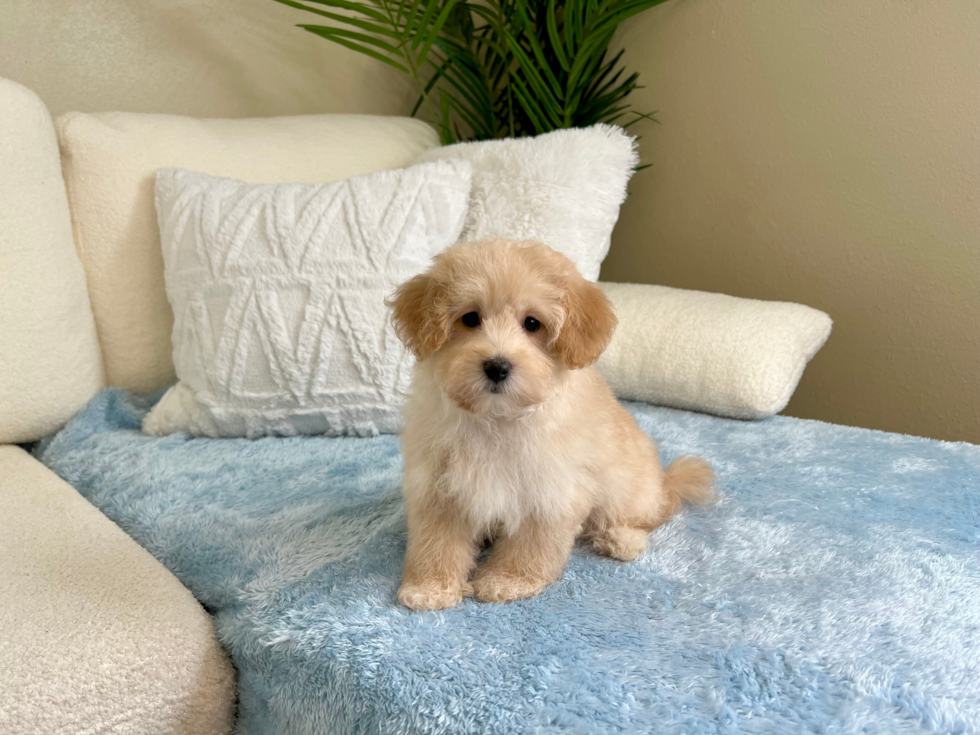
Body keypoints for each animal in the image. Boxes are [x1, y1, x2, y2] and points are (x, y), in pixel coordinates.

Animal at [384, 240, 712, 608]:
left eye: (532, 323)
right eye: (470, 318)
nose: (497, 366)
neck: (497, 418)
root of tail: (666, 482)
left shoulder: (550, 489)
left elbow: (531, 543)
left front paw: (508, 579)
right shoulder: (439, 486)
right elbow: (436, 540)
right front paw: (430, 586)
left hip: (630, 489)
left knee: (642, 517)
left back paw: (621, 539)